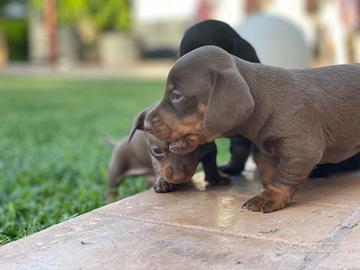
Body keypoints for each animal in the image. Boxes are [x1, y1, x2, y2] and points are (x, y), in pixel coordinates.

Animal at [142, 46, 358, 213]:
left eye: (176, 95)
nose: (145, 124)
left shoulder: (300, 150)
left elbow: (283, 176)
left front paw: (269, 197)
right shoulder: (265, 148)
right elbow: (267, 169)